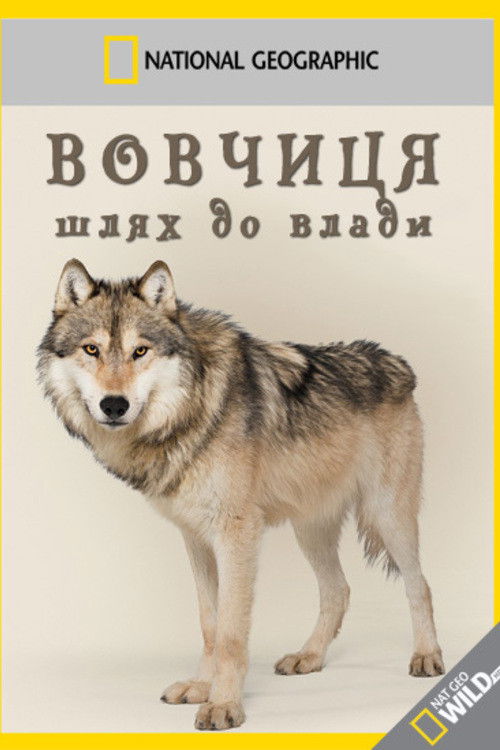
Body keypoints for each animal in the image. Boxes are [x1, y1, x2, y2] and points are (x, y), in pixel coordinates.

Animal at [38, 259, 444, 730]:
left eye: (140, 351)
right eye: (91, 350)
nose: (114, 405)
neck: (193, 407)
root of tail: (396, 362)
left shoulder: (236, 534)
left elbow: (231, 632)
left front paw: (224, 705)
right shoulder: (195, 538)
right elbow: (210, 623)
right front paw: (201, 687)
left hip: (387, 516)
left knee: (419, 585)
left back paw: (426, 656)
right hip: (311, 530)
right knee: (338, 590)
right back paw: (309, 657)